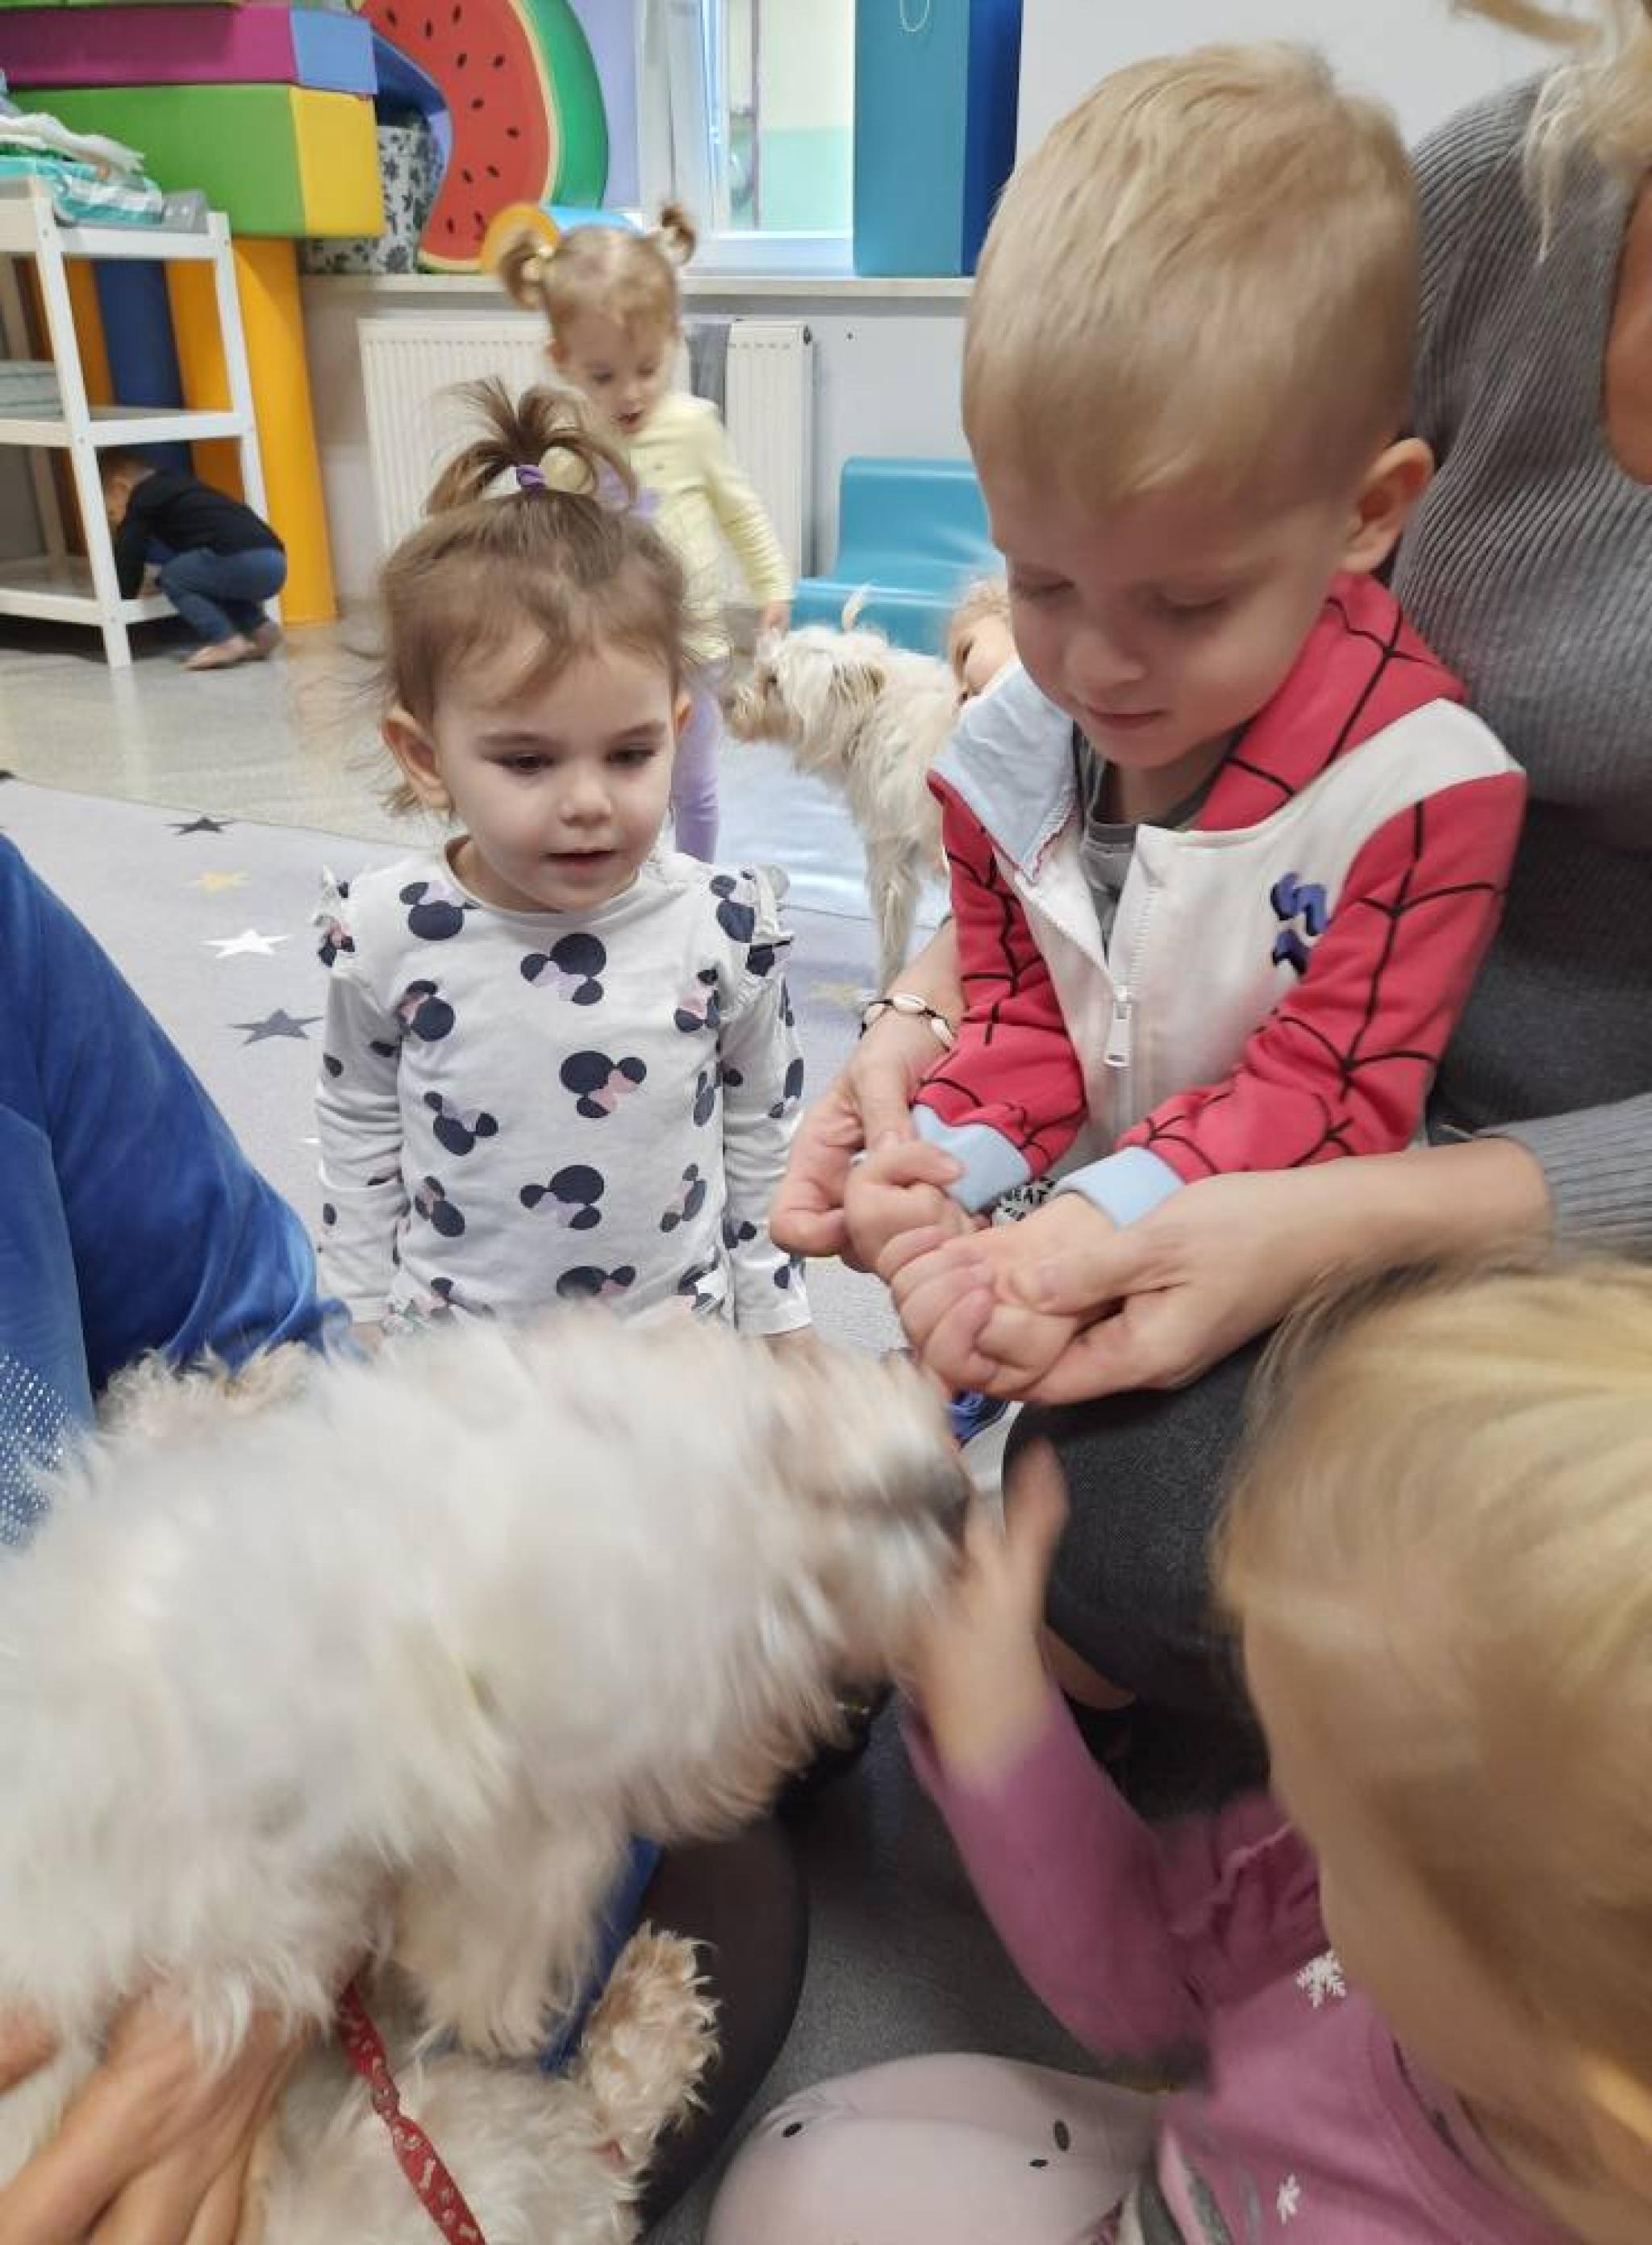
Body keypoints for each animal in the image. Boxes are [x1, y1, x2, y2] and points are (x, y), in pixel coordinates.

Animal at [0, 1316, 967, 2242]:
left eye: (773, 1435)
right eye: (779, 1621)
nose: (953, 1495)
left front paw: (242, 1385)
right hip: (449, 2148)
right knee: (592, 2148)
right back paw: (652, 2010)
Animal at [726, 621, 957, 990]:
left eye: (774, 680)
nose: (727, 702)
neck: (871, 709)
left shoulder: (889, 858)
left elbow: (892, 941)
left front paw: (884, 989)